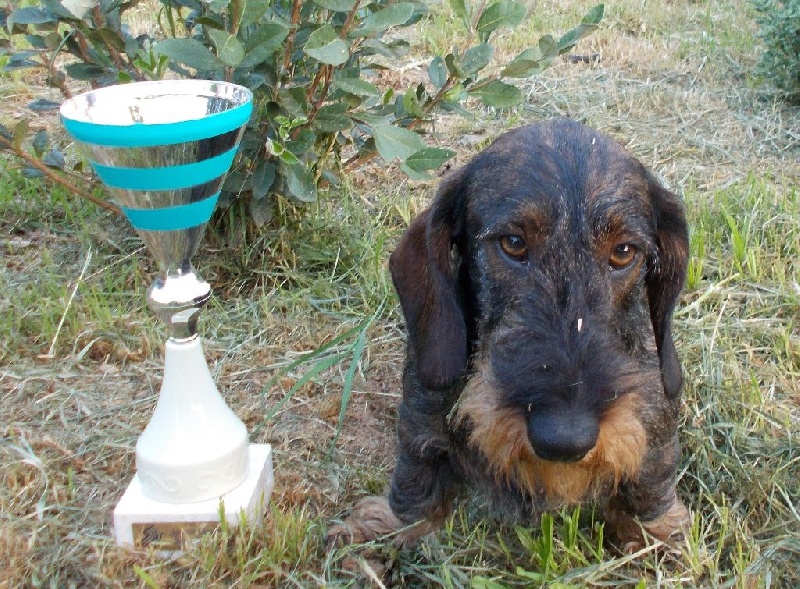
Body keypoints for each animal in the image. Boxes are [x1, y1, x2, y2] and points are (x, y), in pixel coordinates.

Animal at [332, 118, 691, 551]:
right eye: (513, 243)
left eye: (623, 251)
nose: (565, 439)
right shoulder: (422, 400)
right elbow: (417, 459)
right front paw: (395, 523)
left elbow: (654, 467)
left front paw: (656, 528)